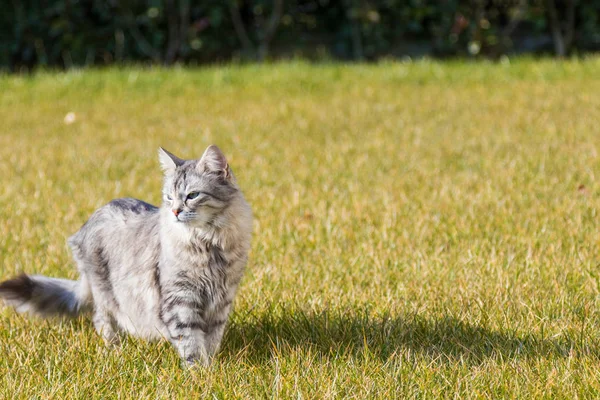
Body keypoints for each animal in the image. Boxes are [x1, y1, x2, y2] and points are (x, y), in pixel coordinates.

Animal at [0, 145, 252, 368]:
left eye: (192, 195)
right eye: (169, 198)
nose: (175, 211)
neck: (209, 244)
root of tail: (89, 221)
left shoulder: (222, 299)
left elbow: (211, 340)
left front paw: (211, 367)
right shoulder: (181, 298)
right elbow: (190, 340)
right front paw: (199, 373)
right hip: (104, 292)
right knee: (101, 320)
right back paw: (115, 349)